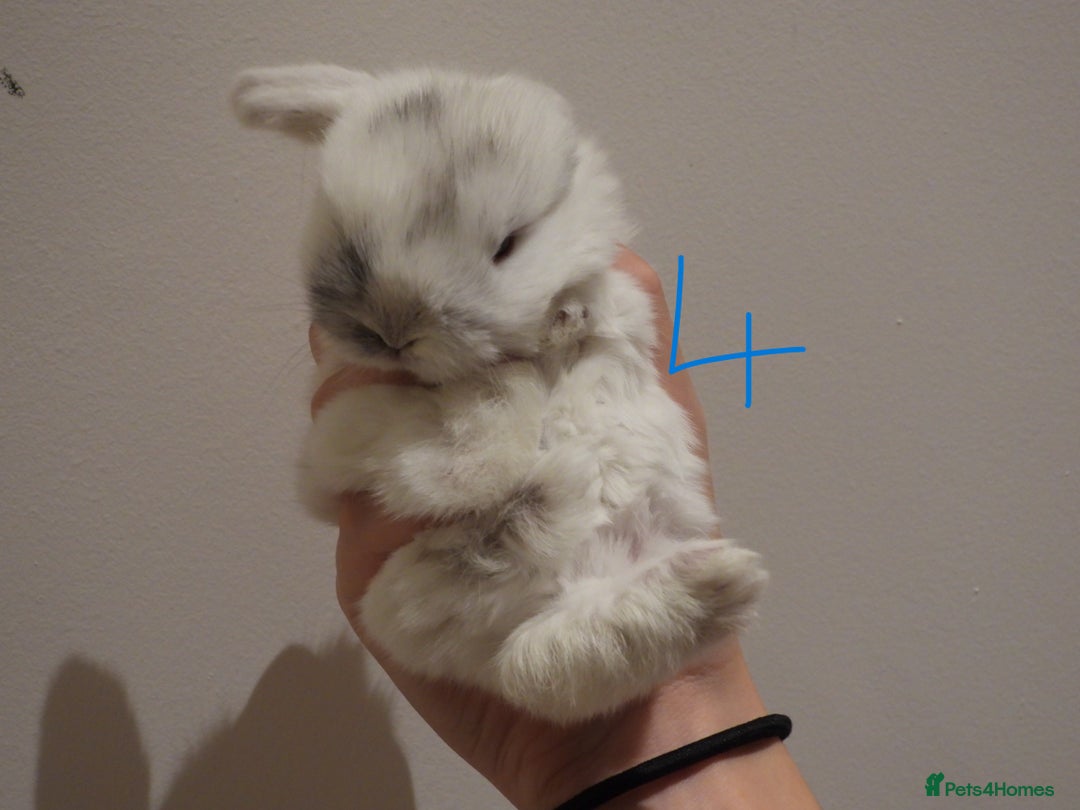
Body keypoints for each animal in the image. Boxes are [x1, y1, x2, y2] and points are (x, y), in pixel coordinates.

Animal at [231, 65, 768, 724]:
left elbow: (595, 312)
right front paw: (513, 385)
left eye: (508, 244)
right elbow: (464, 439)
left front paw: (566, 317)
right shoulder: (326, 455)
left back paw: (717, 580)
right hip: (400, 602)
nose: (392, 331)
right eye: (340, 226)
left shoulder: (627, 310)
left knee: (544, 664)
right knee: (522, 650)